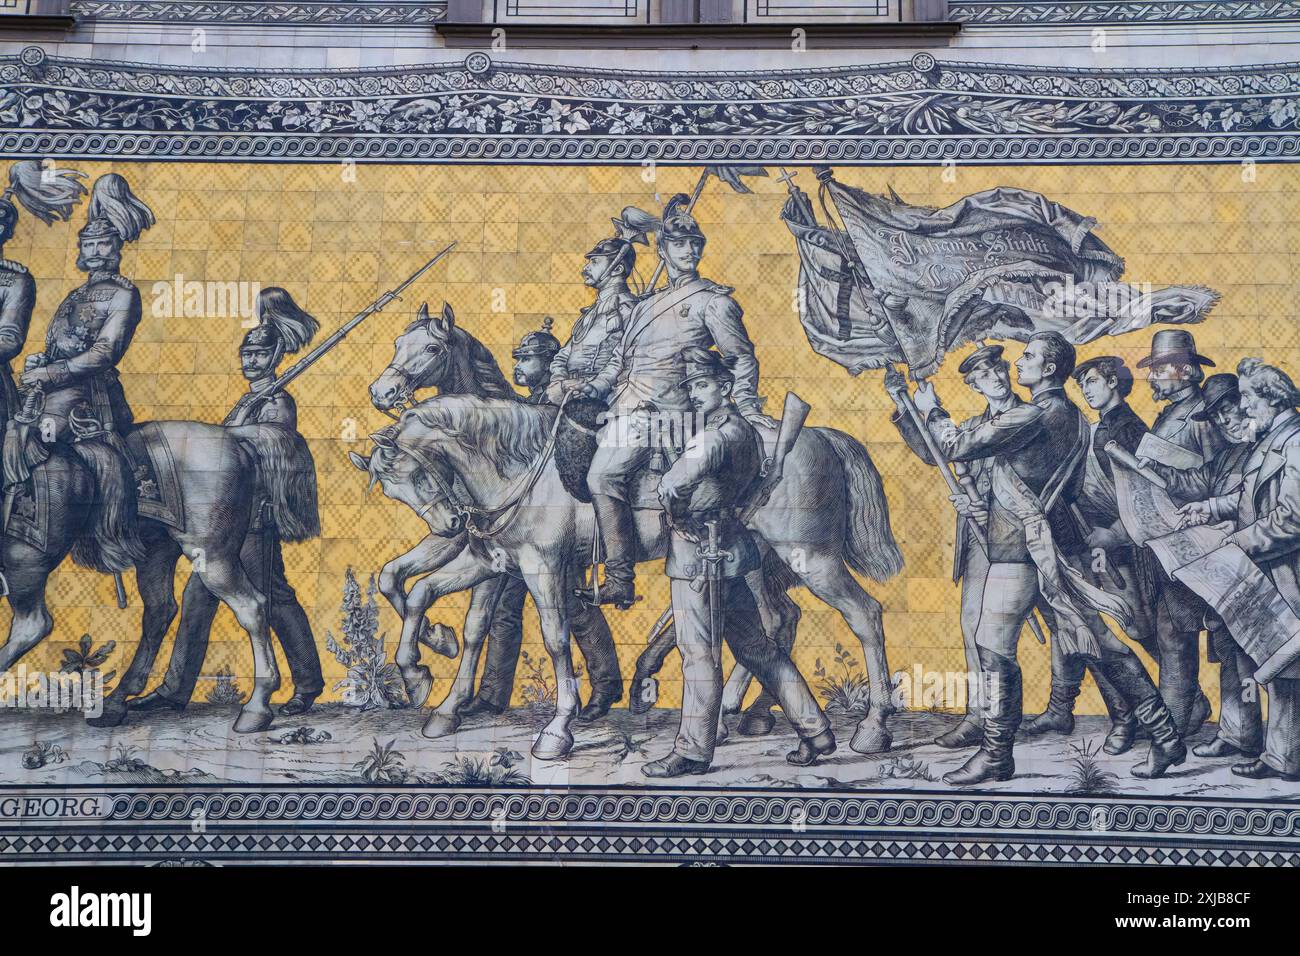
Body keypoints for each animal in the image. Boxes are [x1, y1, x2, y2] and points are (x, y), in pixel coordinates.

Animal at [353, 395, 904, 764]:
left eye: (417, 473)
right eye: (393, 488)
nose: (450, 524)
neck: (524, 468)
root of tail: (822, 436)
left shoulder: (540, 566)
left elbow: (554, 640)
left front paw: (557, 730)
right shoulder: (493, 562)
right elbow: (430, 601)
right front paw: (429, 685)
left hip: (812, 559)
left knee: (865, 615)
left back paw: (871, 730)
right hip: (761, 563)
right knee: (777, 624)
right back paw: (752, 716)